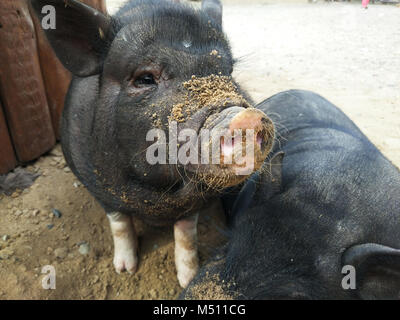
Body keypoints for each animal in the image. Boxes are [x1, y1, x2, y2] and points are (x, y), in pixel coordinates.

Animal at [30, 0, 276, 288]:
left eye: (227, 72)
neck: (156, 194)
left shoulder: (195, 204)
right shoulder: (98, 186)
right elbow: (119, 224)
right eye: (145, 78)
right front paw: (125, 269)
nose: (247, 118)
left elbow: (186, 234)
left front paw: (187, 279)